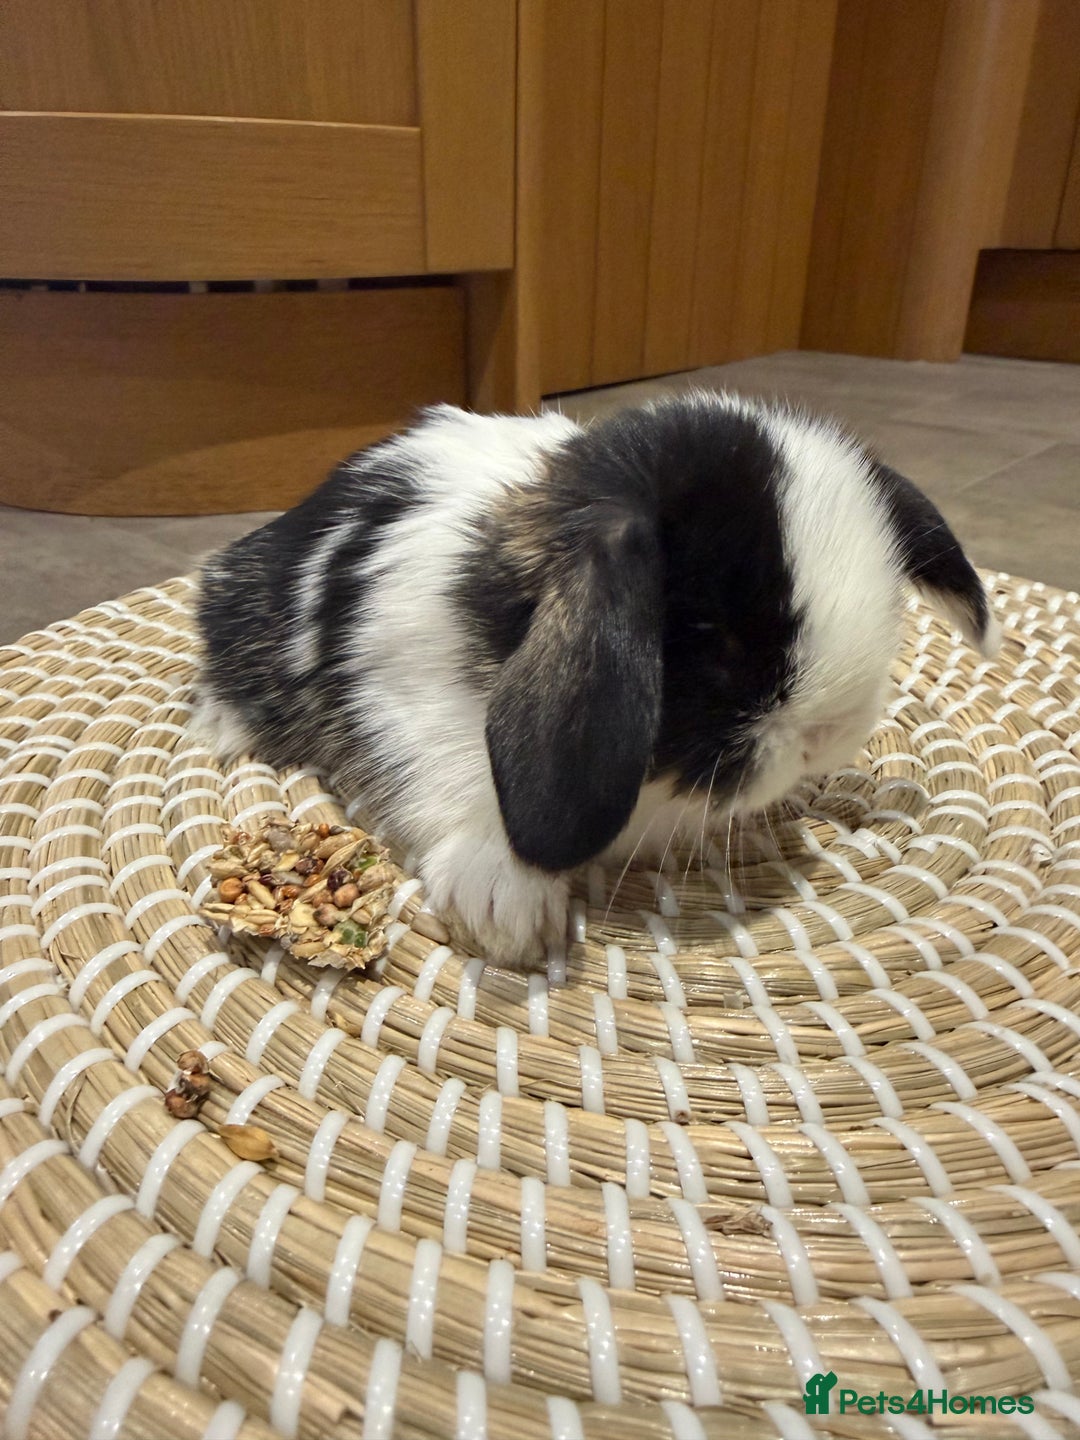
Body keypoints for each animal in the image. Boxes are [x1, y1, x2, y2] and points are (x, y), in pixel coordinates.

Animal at [193, 394, 999, 968]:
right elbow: (452, 789)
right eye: (712, 636)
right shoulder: (402, 698)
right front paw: (508, 911)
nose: (826, 738)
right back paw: (226, 729)